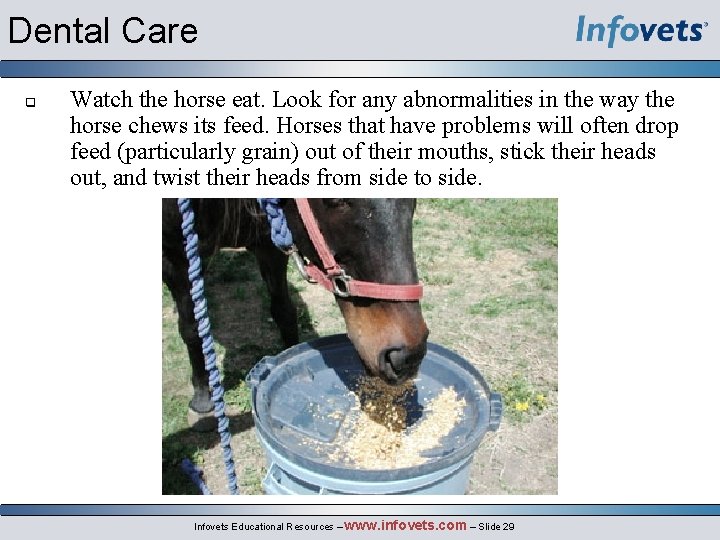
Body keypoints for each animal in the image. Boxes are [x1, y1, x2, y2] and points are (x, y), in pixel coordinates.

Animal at [162, 198, 428, 429]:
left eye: (412, 201)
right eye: (335, 200)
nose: (406, 357)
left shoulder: (271, 238)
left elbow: (284, 312)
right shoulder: (176, 257)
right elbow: (191, 328)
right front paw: (202, 401)